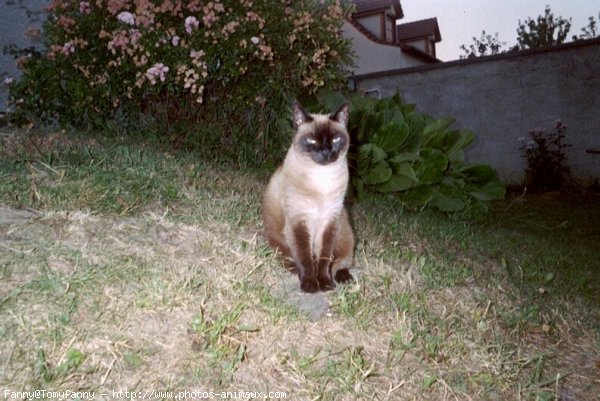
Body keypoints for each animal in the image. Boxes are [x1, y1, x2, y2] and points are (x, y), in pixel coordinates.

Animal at [262, 101, 354, 290]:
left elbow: (325, 258)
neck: (322, 180)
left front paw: (325, 283)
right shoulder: (300, 221)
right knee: (290, 258)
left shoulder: (329, 221)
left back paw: (343, 278)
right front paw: (310, 284)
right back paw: (294, 270)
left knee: (340, 263)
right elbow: (305, 257)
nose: (326, 153)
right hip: (277, 241)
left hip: (345, 233)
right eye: (311, 140)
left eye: (336, 140)